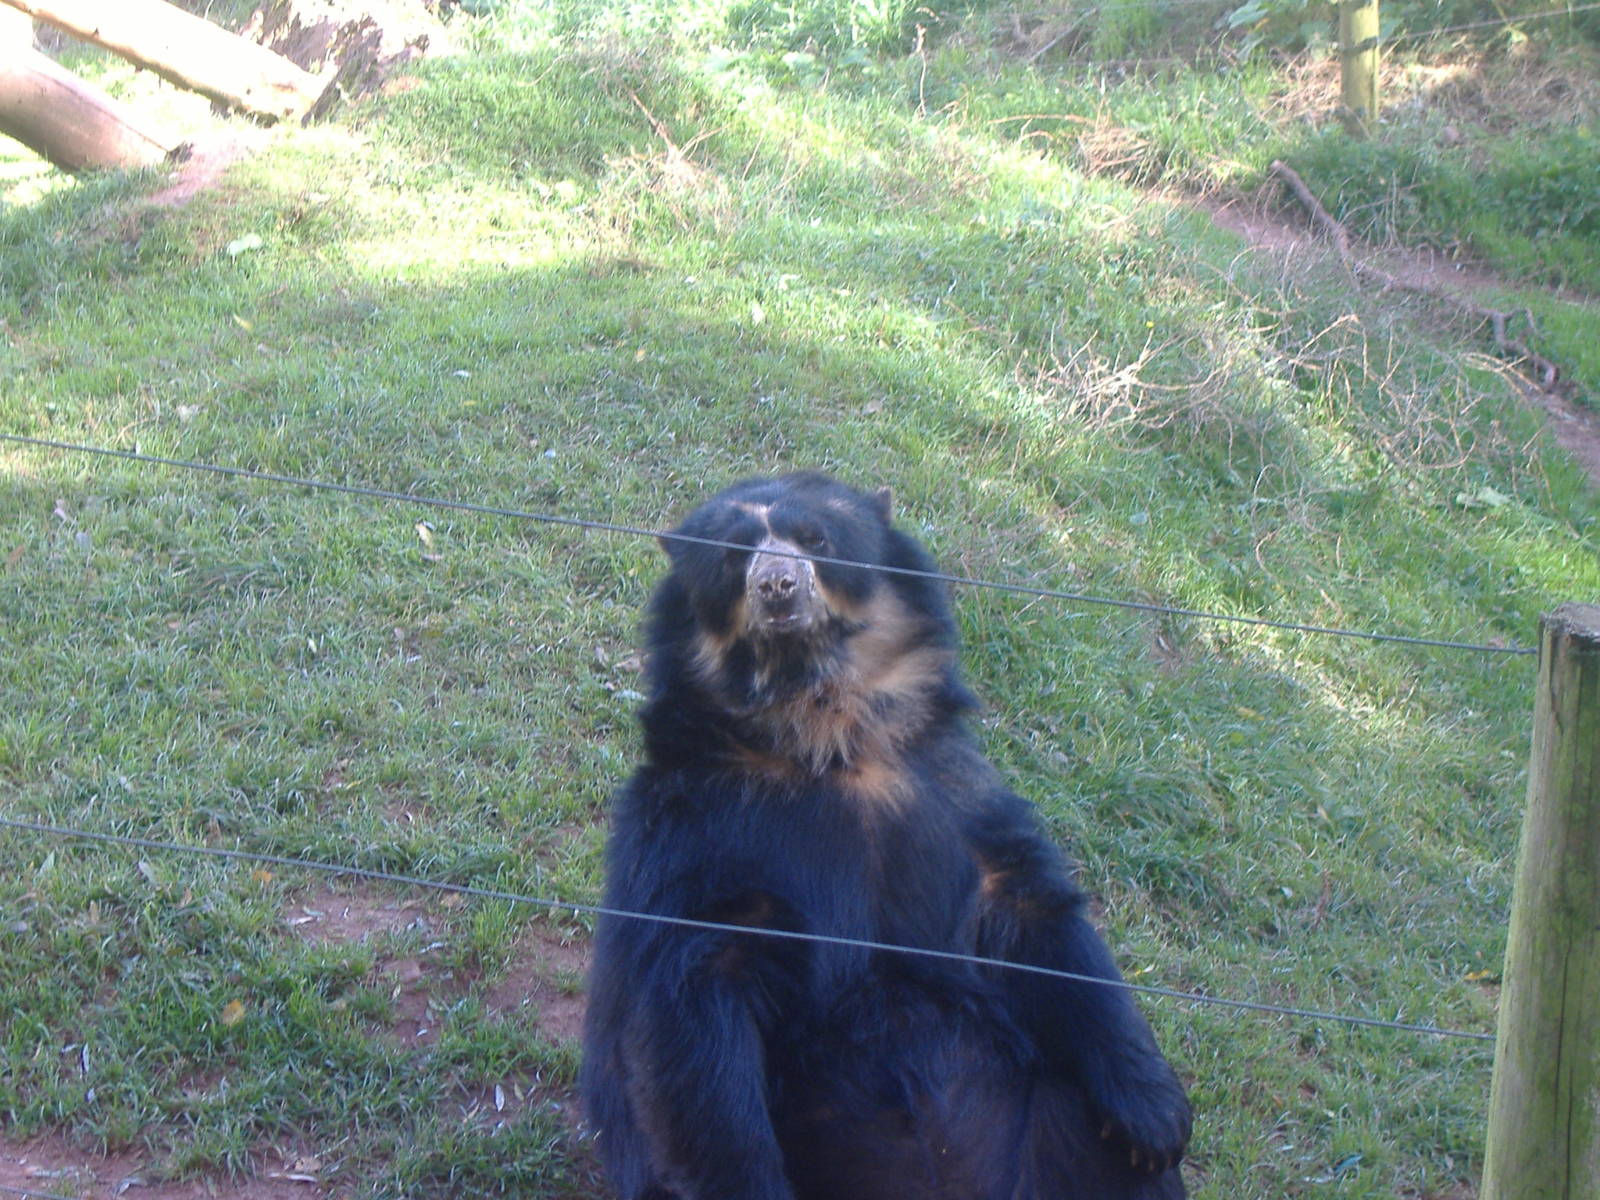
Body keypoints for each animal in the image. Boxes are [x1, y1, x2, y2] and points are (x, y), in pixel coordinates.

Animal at [580, 472, 1191, 1200]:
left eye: (815, 539)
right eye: (733, 559)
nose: (778, 586)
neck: (826, 731)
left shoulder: (953, 788)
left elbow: (1035, 913)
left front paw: (1156, 1120)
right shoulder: (697, 829)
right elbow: (692, 1001)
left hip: (1050, 1121)